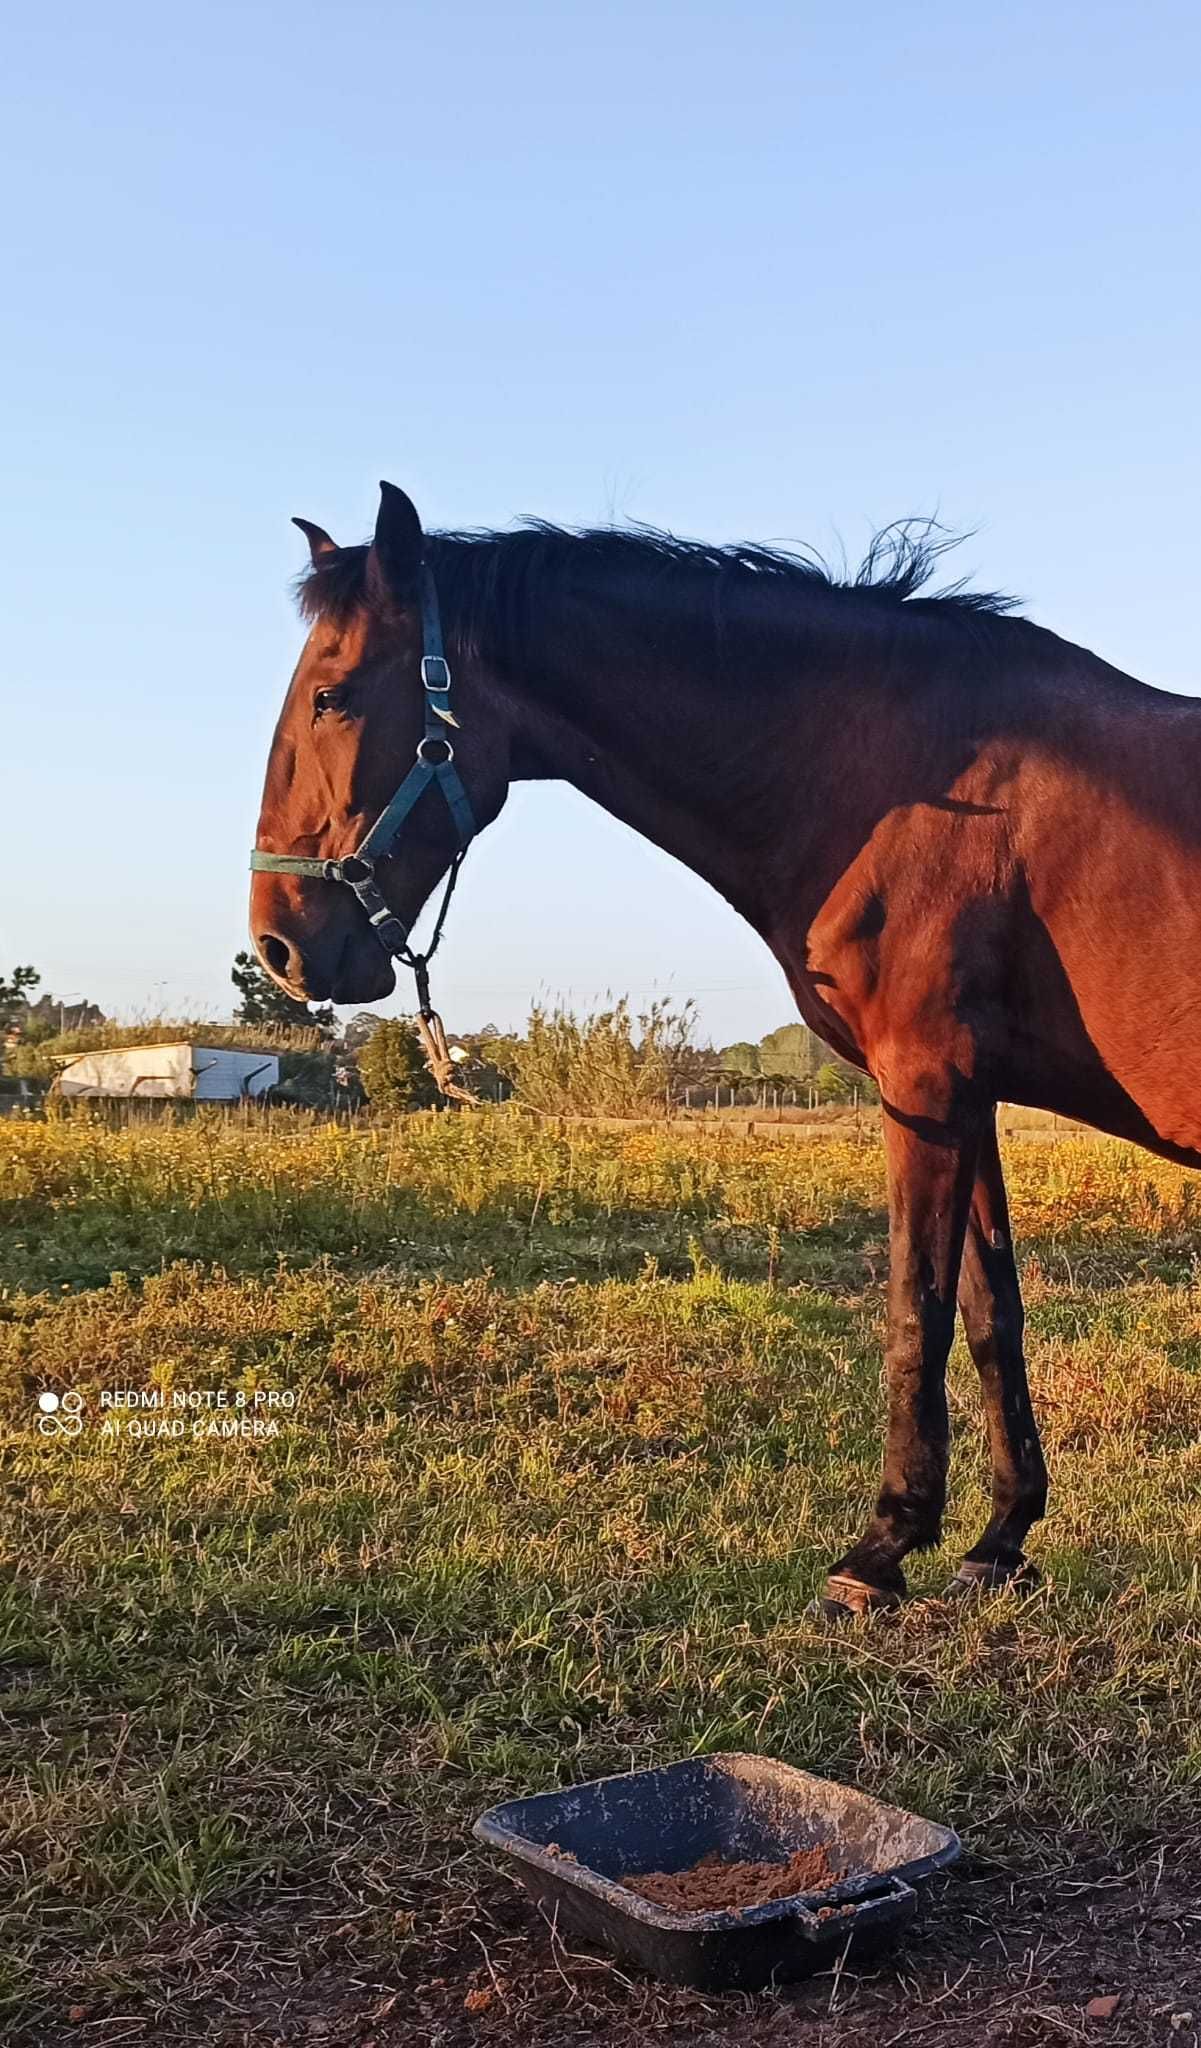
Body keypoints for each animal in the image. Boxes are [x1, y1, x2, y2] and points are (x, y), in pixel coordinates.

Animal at [250, 479, 1196, 1613]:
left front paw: (879, 1551)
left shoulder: (925, 1086)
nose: (278, 945)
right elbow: (988, 1311)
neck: (904, 775)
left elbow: (914, 1308)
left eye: (331, 698)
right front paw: (997, 1538)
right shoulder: (968, 1096)